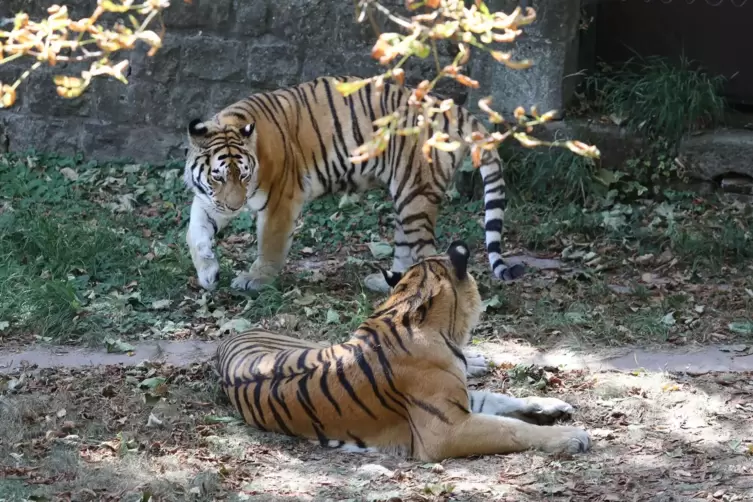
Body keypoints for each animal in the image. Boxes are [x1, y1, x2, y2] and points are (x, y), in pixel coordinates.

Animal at [184, 76, 524, 292]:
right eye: (217, 176)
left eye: (242, 175)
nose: (235, 207)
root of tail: (455, 109)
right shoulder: (210, 200)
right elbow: (195, 233)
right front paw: (208, 273)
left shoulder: (280, 200)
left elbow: (269, 244)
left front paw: (255, 280)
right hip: (407, 196)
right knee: (407, 249)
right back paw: (386, 284)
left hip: (415, 194)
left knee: (427, 253)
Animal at [214, 241, 592, 460]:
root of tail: (235, 335)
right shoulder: (446, 430)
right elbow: (510, 429)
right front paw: (571, 437)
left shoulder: (458, 401)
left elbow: (503, 401)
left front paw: (552, 405)